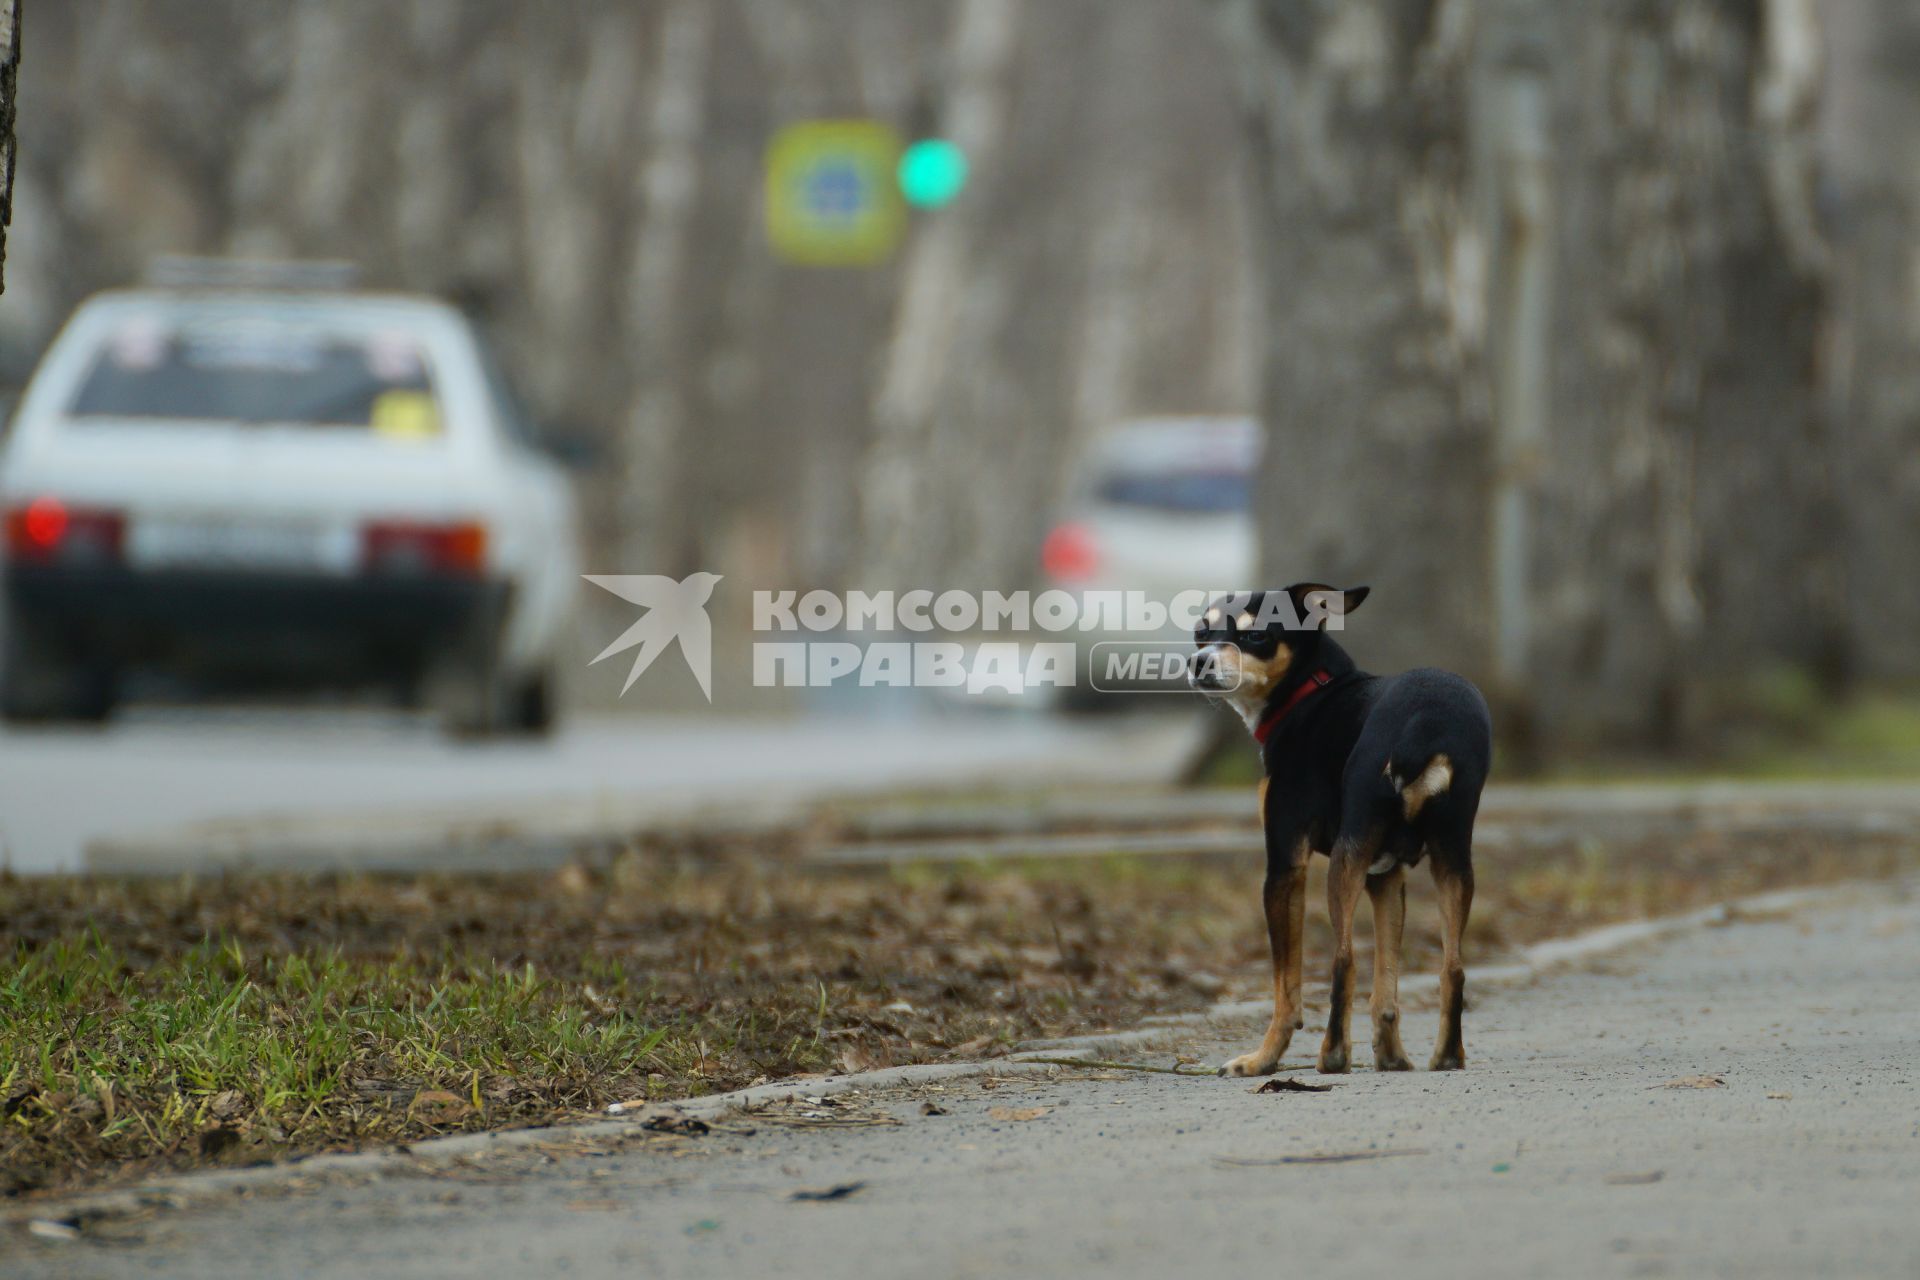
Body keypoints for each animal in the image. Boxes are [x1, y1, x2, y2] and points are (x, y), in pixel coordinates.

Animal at [1182, 587, 1497, 1074]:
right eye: (1202, 633)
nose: (1199, 662)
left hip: (1345, 863)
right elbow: (1386, 985)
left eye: (1255, 635)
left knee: (1343, 959)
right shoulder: (1386, 877)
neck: (1312, 692)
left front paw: (1261, 1060)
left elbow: (1286, 988)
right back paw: (1446, 1055)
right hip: (1453, 861)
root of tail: (1426, 722)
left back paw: (1331, 1055)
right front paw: (1392, 1057)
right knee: (1453, 966)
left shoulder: (1285, 867)